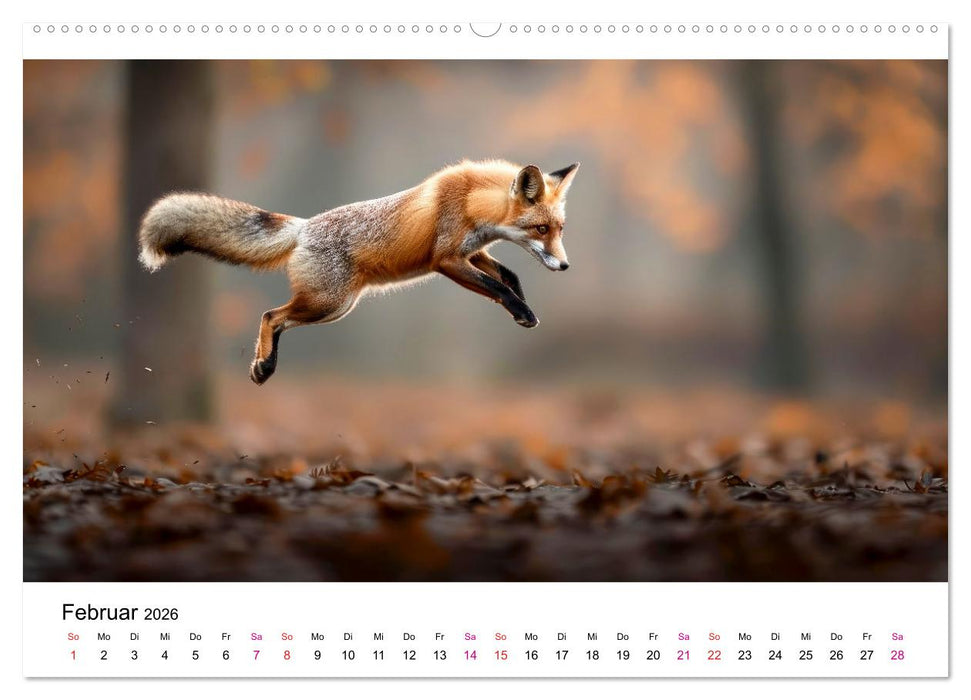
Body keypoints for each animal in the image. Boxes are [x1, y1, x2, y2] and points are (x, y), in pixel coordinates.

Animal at [138, 159, 579, 385]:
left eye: (559, 229)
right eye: (541, 229)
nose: (565, 265)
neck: (473, 202)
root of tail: (304, 227)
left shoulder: (473, 251)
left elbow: (509, 277)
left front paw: (523, 306)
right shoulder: (446, 260)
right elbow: (497, 287)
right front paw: (523, 312)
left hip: (335, 307)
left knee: (278, 320)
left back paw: (263, 366)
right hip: (327, 302)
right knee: (270, 315)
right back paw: (263, 366)